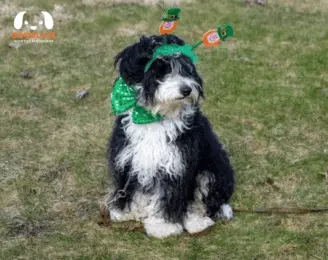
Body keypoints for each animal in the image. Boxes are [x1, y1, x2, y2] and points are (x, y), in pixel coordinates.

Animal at [107, 35, 233, 240]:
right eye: (161, 69)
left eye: (187, 69)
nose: (187, 90)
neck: (153, 117)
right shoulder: (131, 159)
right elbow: (131, 188)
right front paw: (126, 212)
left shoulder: (176, 165)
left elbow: (167, 196)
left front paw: (162, 226)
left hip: (211, 172)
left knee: (199, 202)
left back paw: (197, 222)